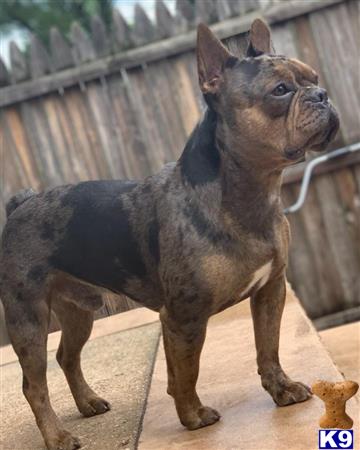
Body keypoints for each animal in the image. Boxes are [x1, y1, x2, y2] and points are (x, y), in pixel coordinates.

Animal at [0, 20, 338, 450]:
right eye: (280, 91)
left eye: (314, 78)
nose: (322, 94)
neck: (245, 194)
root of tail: (21, 204)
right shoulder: (184, 317)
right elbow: (188, 369)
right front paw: (193, 416)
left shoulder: (269, 291)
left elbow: (268, 347)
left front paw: (281, 390)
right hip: (28, 319)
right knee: (34, 384)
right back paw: (58, 436)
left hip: (79, 313)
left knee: (67, 358)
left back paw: (88, 403)